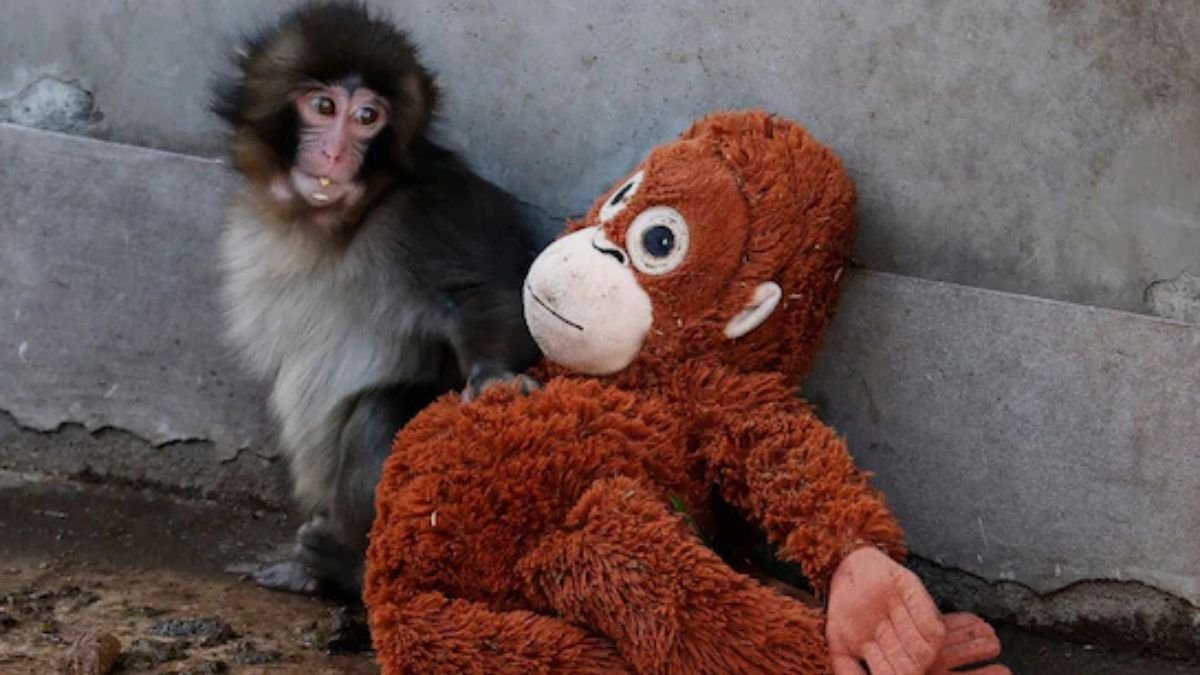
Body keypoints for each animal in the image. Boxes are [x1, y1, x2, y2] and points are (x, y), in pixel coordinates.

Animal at [211, 1, 542, 599]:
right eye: (323, 106)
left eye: (368, 117)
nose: (336, 152)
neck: (335, 222)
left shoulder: (428, 212)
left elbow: (489, 296)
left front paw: (494, 378)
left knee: (377, 415)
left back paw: (346, 567)